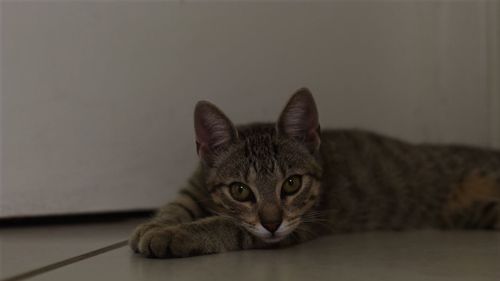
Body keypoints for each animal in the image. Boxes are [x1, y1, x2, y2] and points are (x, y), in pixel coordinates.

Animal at [129, 88, 500, 258]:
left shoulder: (298, 227)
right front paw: (156, 225)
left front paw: (173, 235)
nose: (272, 222)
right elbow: (177, 206)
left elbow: (226, 226)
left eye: (292, 184)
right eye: (240, 190)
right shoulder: (193, 188)